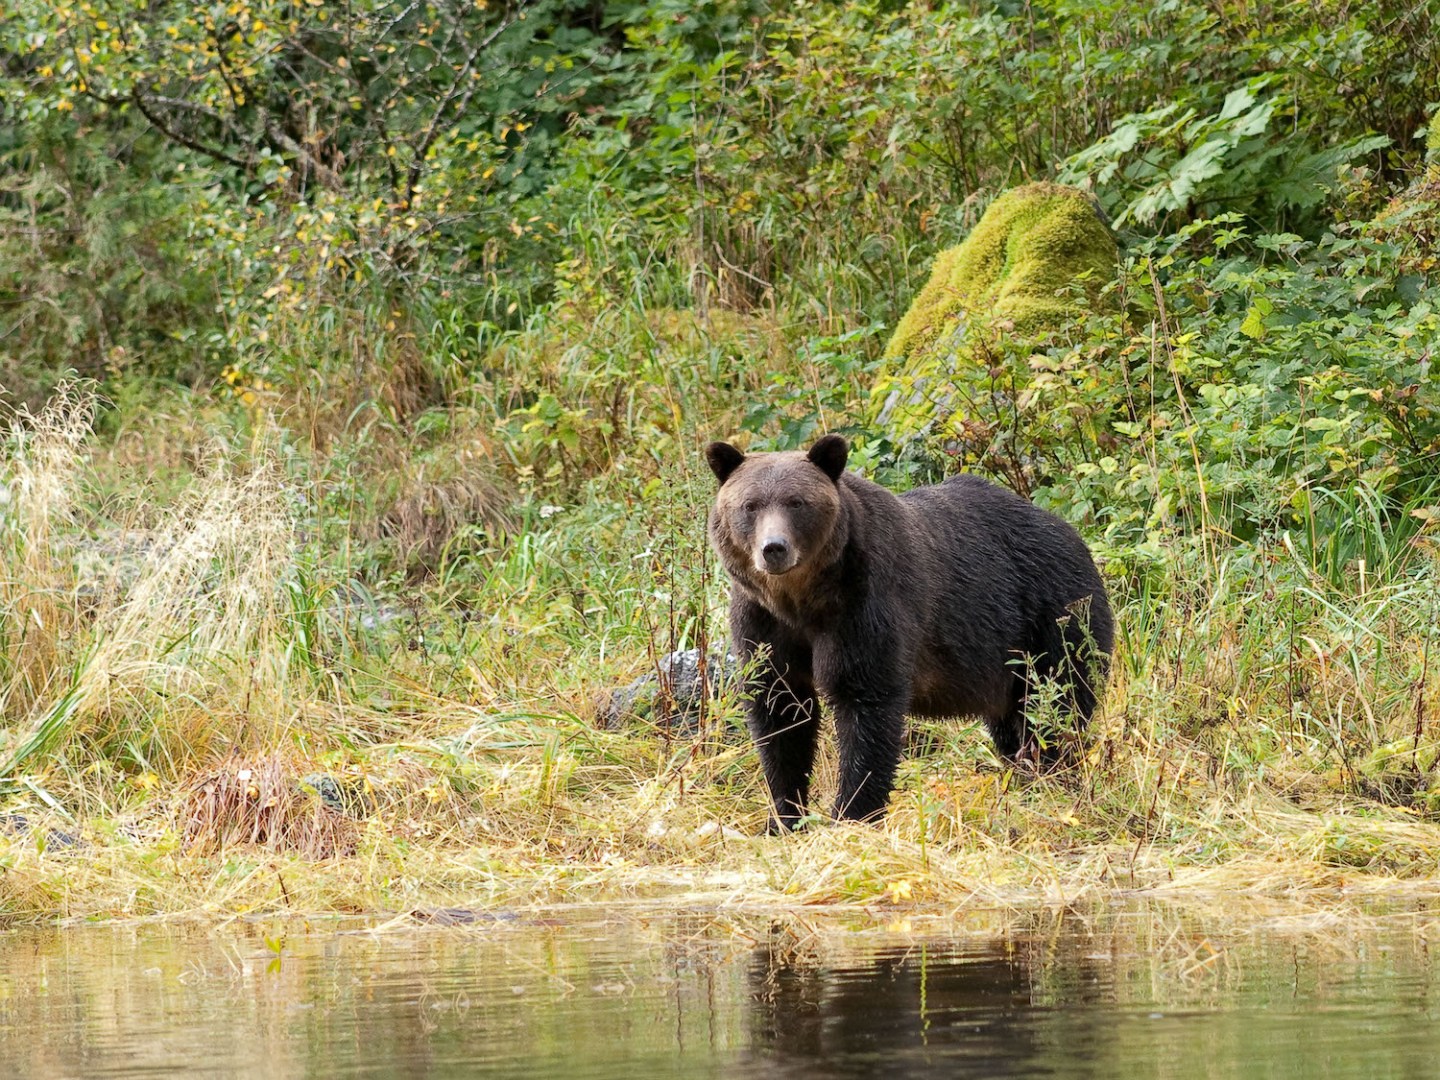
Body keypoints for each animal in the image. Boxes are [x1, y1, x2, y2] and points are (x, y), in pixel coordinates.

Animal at [708, 434, 1111, 835]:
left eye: (797, 502)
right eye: (750, 505)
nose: (774, 548)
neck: (802, 601)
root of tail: (1074, 534)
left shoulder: (864, 607)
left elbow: (865, 706)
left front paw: (852, 813)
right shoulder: (763, 623)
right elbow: (781, 712)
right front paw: (784, 818)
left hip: (1052, 615)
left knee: (1057, 701)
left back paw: (1052, 777)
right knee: (1014, 723)